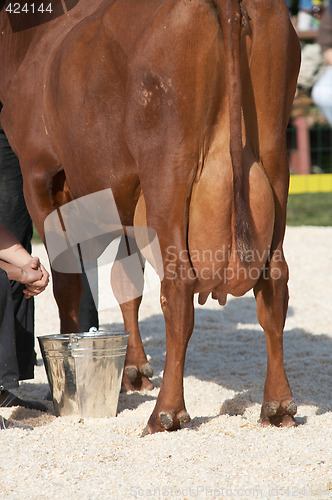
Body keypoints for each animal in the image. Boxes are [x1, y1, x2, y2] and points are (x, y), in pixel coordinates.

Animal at [0, 0, 300, 434]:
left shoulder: (40, 177)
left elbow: (69, 285)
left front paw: (68, 377)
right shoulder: (127, 205)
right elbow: (126, 282)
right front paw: (133, 370)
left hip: (168, 169)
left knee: (178, 288)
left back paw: (166, 412)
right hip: (275, 165)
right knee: (274, 283)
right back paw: (277, 405)